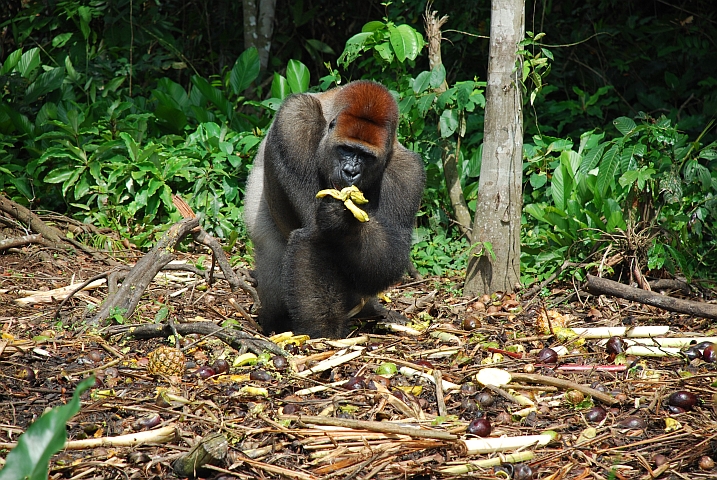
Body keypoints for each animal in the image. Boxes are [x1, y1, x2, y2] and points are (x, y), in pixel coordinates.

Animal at [245, 80, 426, 338]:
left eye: (365, 156)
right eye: (346, 149)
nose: (351, 172)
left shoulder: (409, 172)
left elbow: (390, 258)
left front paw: (345, 221)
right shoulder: (295, 118)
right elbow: (315, 235)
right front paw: (323, 327)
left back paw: (371, 311)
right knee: (271, 245)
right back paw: (278, 321)